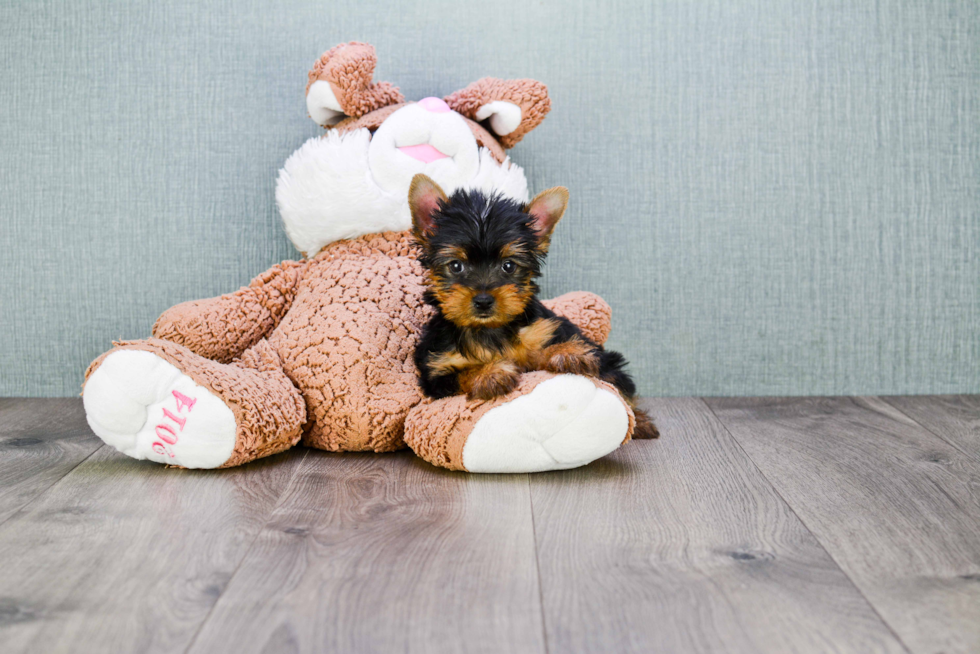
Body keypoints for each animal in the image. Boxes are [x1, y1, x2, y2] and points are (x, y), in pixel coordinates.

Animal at [406, 174, 660, 440]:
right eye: (456, 266)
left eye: (508, 266)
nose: (484, 300)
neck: (489, 329)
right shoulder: (436, 373)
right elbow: (460, 375)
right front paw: (488, 373)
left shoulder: (546, 331)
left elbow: (535, 354)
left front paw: (565, 352)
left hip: (610, 363)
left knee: (618, 383)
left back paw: (640, 422)